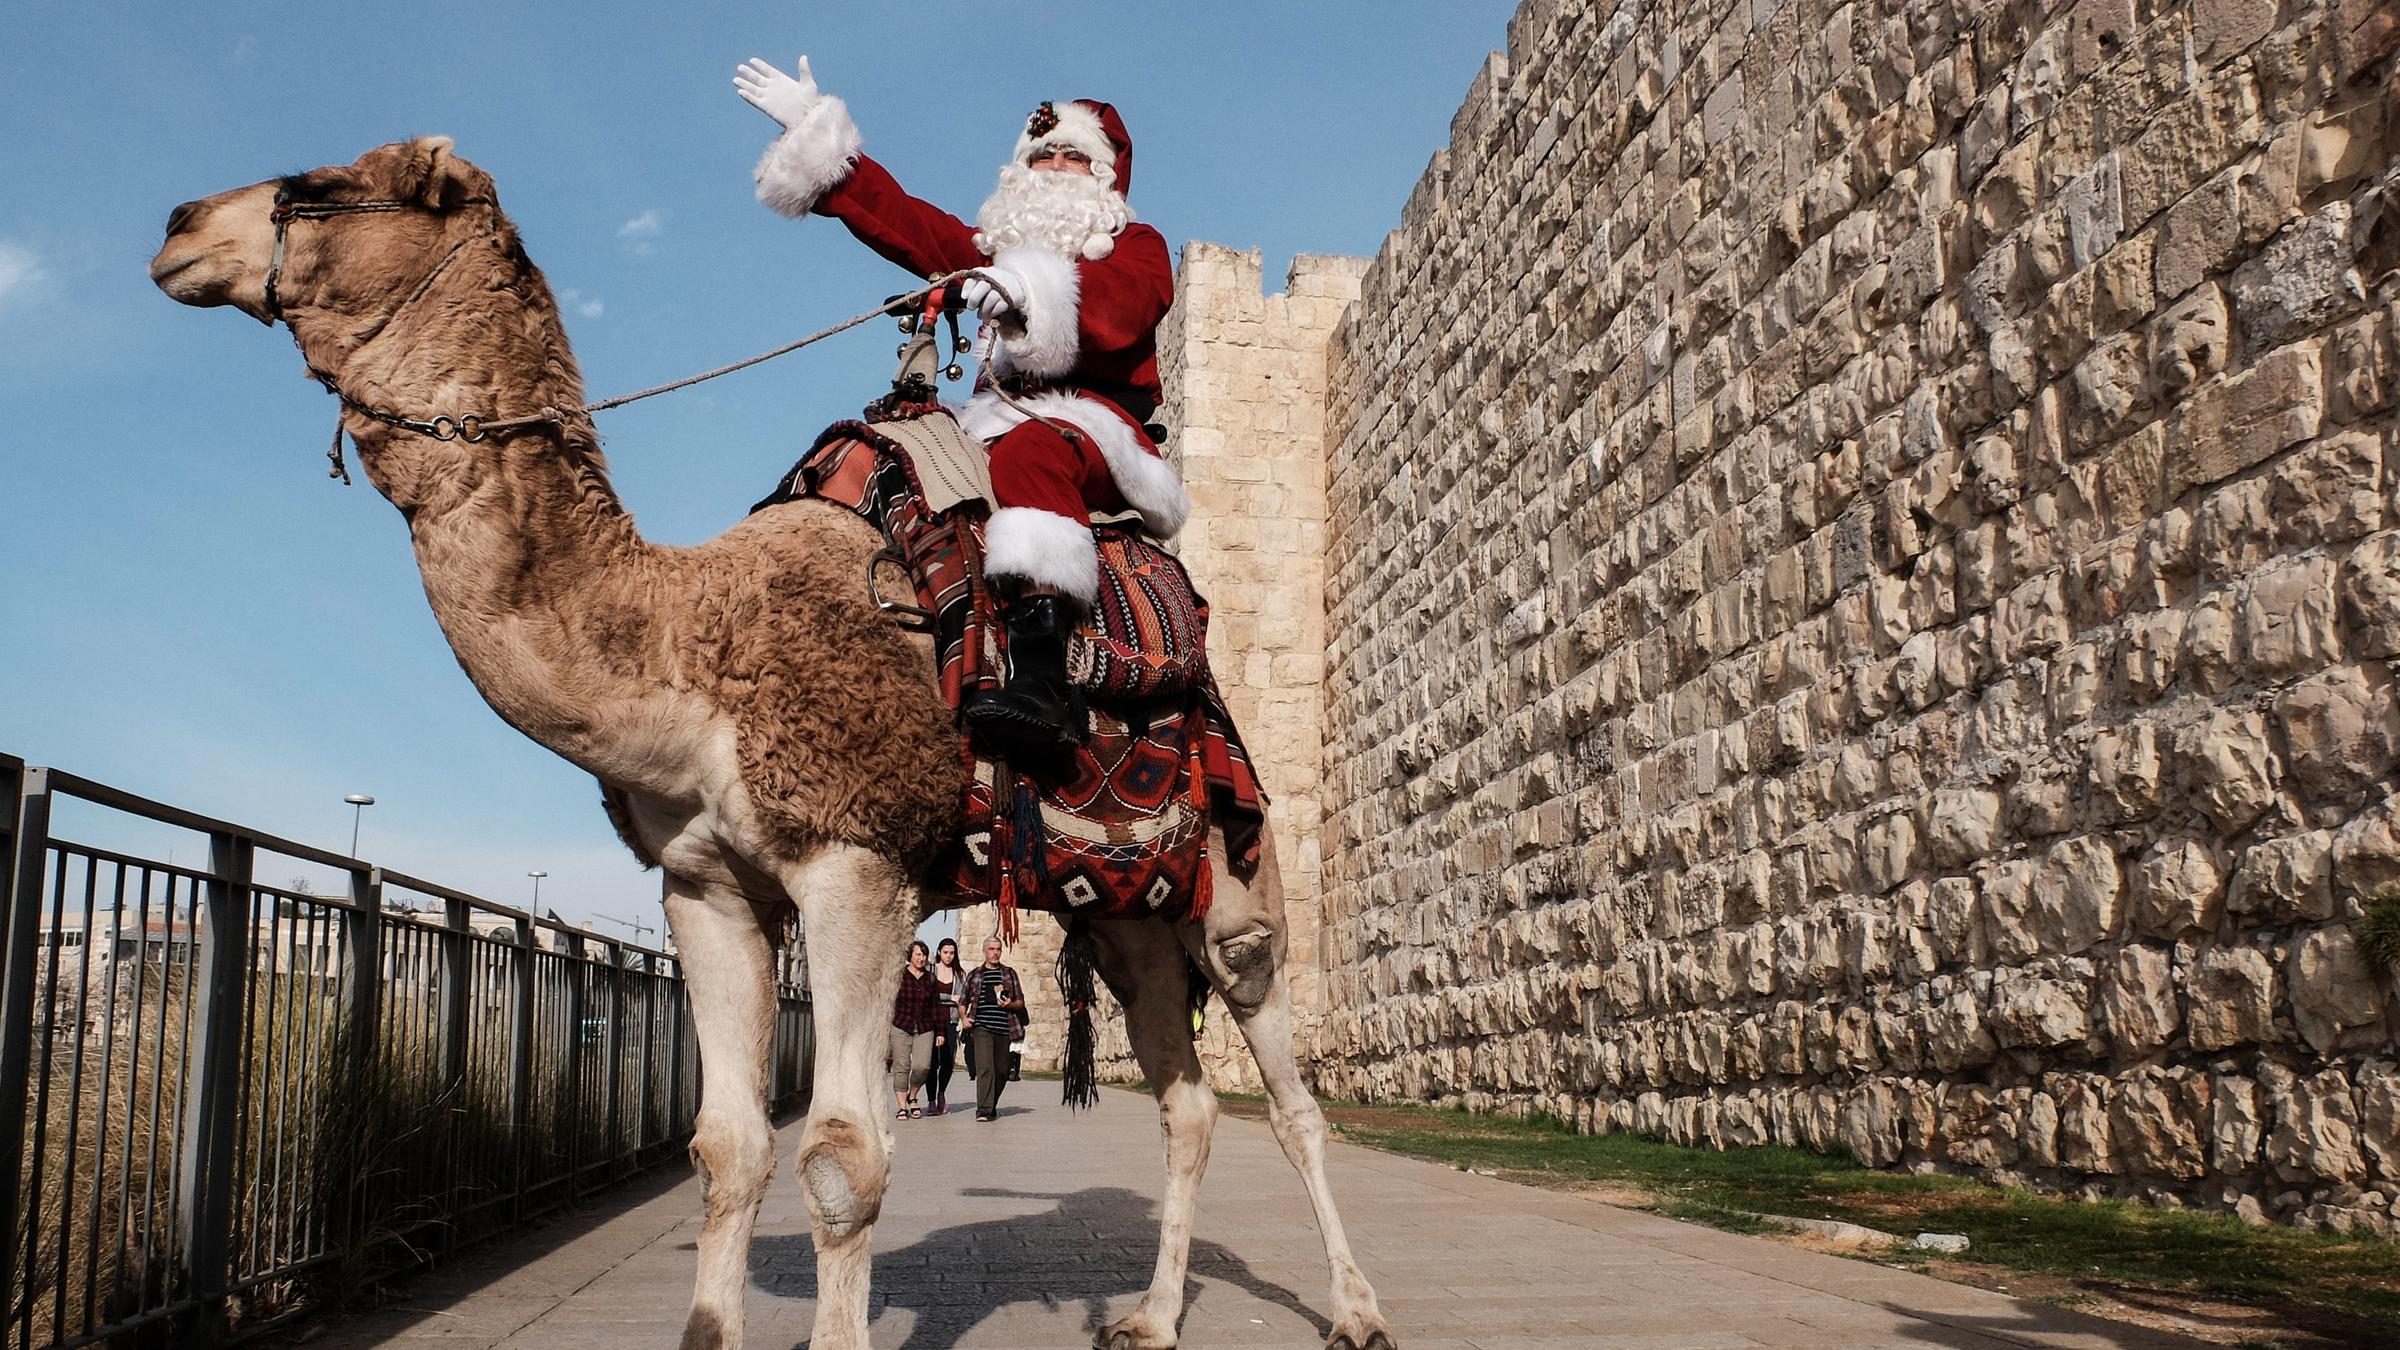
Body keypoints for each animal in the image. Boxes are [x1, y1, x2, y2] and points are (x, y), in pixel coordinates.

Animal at [148, 138, 1394, 1350]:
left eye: (320, 186)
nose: (177, 226)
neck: (689, 639)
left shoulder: (856, 859)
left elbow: (842, 1158)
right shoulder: (708, 884)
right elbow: (726, 1147)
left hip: (1238, 877)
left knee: (1288, 1093)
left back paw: (1356, 1311)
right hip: (1131, 910)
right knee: (1186, 1101)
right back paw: (1146, 1318)